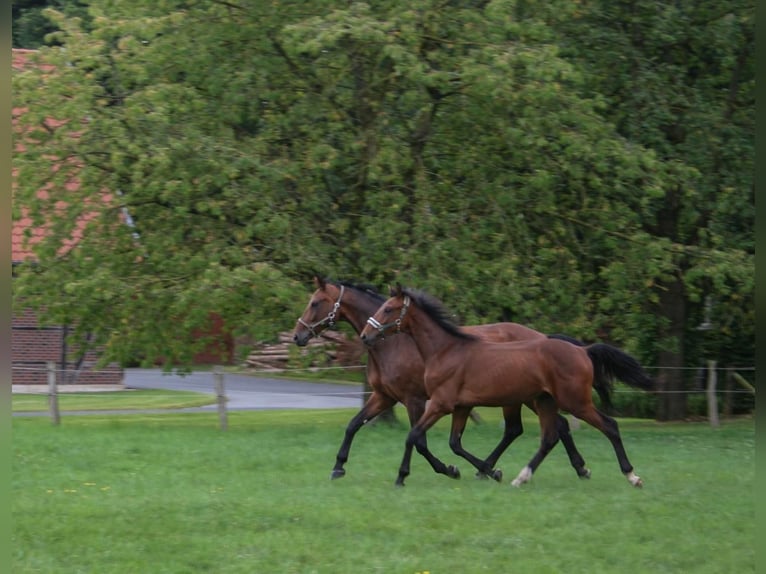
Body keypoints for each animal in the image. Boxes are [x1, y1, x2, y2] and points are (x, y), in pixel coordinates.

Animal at [296, 276, 600, 484]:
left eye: (315, 303)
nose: (298, 336)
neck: (395, 343)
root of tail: (544, 338)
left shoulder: (415, 400)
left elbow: (419, 440)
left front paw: (445, 470)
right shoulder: (384, 397)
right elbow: (353, 425)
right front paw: (338, 467)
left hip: (527, 399)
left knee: (544, 427)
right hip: (525, 399)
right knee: (540, 427)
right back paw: (575, 467)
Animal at [360, 286, 656, 488]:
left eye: (388, 309)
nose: (365, 335)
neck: (446, 350)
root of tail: (583, 351)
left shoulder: (440, 404)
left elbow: (414, 436)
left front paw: (402, 477)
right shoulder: (461, 406)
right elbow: (454, 443)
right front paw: (484, 470)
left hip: (575, 402)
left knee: (609, 426)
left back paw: (632, 476)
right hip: (545, 401)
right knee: (550, 436)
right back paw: (523, 477)